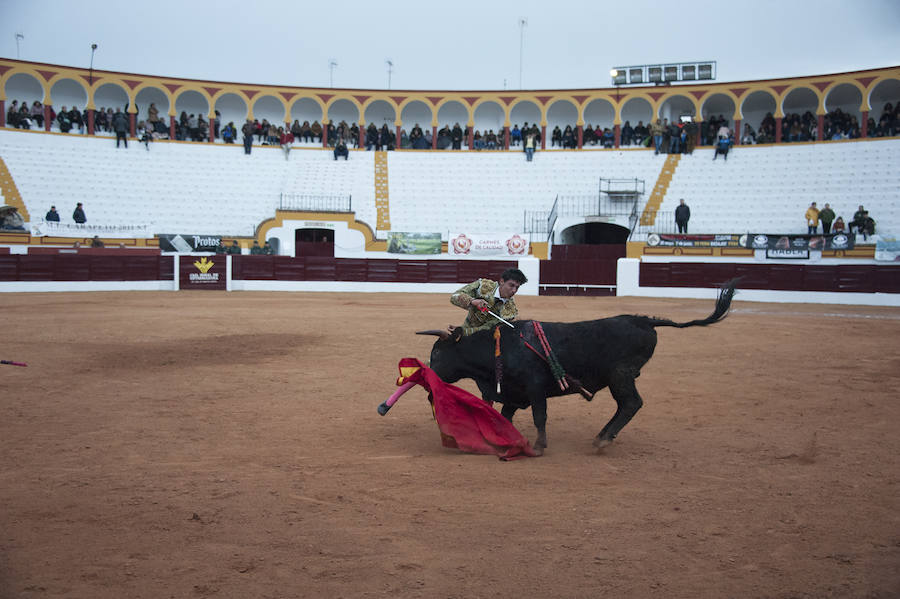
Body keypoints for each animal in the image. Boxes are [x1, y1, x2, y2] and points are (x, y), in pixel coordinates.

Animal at [418, 282, 736, 454]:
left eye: (437, 352)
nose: (428, 377)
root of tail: (643, 319)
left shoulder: (535, 389)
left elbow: (540, 416)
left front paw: (539, 446)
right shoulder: (512, 393)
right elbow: (505, 417)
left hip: (621, 376)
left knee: (631, 403)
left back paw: (603, 439)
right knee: (626, 405)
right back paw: (602, 436)